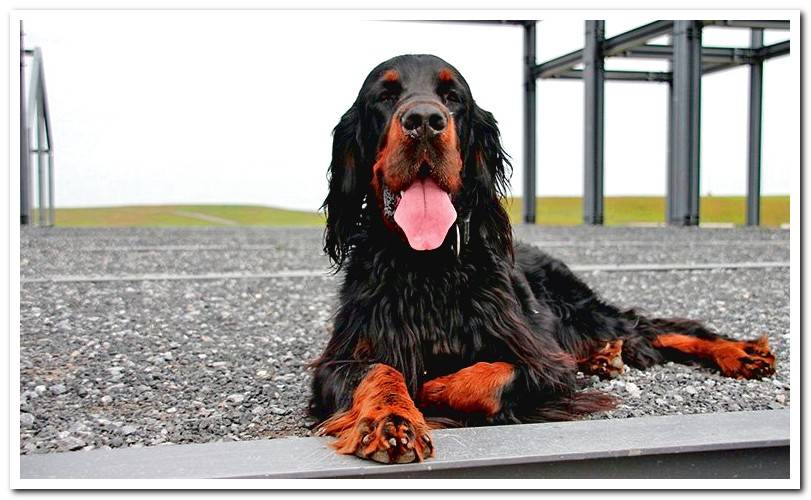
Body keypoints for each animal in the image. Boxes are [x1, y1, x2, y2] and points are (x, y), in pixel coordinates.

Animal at [308, 54, 776, 464]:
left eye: (453, 96)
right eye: (384, 96)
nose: (425, 120)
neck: (427, 264)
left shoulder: (543, 363)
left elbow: (485, 379)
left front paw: (429, 388)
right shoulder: (341, 359)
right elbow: (379, 372)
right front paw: (390, 420)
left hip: (579, 308)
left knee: (654, 327)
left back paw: (740, 353)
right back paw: (605, 356)